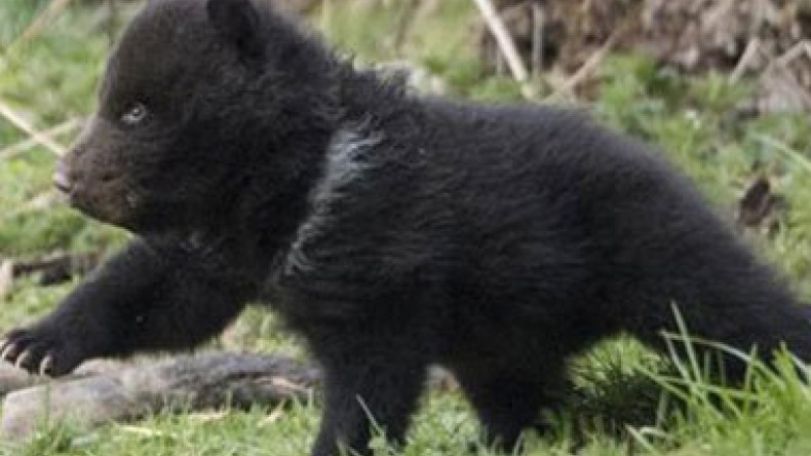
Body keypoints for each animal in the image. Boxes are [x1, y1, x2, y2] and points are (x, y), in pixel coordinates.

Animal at [3, 0, 811, 454]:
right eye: (111, 101)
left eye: (137, 110)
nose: (64, 179)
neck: (300, 185)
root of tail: (663, 164)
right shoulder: (226, 247)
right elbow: (164, 296)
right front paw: (36, 342)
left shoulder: (383, 258)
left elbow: (372, 375)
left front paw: (337, 446)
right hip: (506, 334)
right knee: (522, 388)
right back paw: (517, 438)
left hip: (647, 243)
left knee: (733, 311)